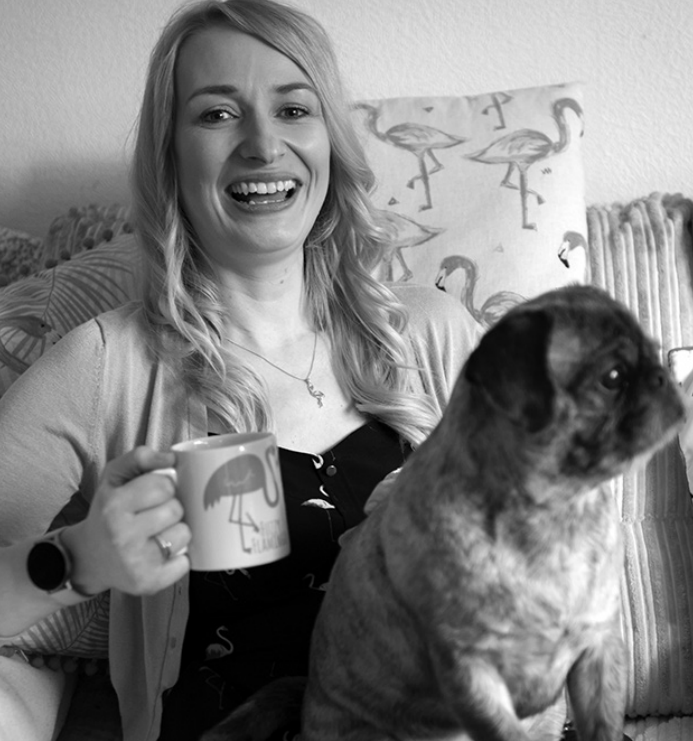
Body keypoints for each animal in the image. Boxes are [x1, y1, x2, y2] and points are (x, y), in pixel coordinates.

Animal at [203, 286, 684, 740]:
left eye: (653, 354)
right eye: (613, 377)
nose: (664, 377)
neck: (553, 519)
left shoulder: (597, 655)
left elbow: (603, 725)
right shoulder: (472, 675)